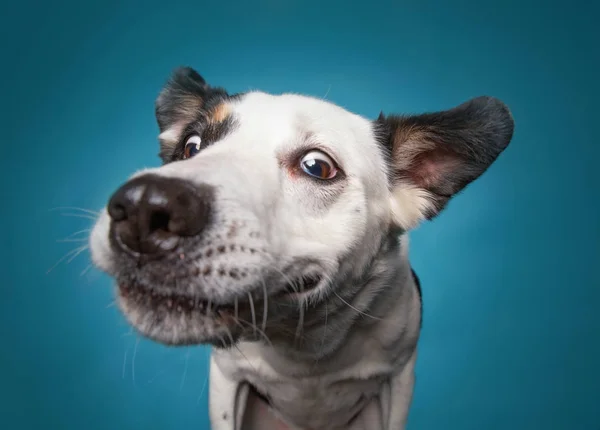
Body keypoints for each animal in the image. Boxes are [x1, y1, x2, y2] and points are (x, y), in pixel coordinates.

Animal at [90, 65, 516, 428]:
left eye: (317, 167)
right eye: (191, 145)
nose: (145, 207)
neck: (303, 347)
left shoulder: (399, 380)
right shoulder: (226, 379)